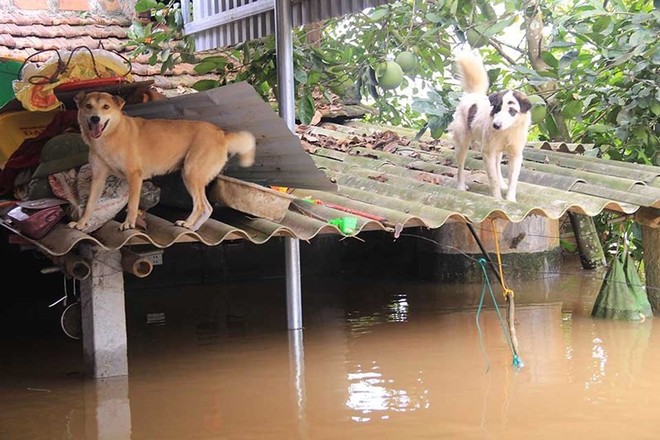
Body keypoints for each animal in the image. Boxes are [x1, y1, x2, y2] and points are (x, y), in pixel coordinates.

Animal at [68, 91, 255, 232]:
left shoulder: (135, 176)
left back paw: (188, 224)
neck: (111, 135)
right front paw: (81, 223)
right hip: (190, 175)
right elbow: (89, 205)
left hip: (191, 173)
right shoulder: (98, 178)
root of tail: (221, 133)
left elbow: (133, 204)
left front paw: (129, 223)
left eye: (106, 107)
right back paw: (192, 227)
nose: (95, 119)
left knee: (202, 206)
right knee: (207, 208)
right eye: (88, 106)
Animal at [446, 51, 532, 203]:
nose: (496, 125)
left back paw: (503, 183)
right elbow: (493, 180)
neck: (506, 131)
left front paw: (510, 199)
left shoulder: (516, 154)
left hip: (497, 151)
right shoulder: (487, 152)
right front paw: (497, 198)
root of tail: (473, 94)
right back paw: (461, 186)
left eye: (512, 110)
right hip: (462, 144)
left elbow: (513, 180)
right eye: (497, 108)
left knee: (497, 165)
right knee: (460, 167)